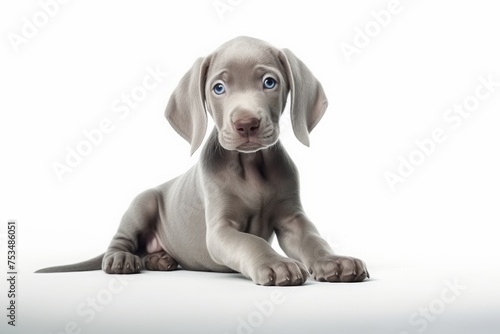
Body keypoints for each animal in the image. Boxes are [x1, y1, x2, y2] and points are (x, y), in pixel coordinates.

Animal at [38, 37, 368, 288]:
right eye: (218, 88)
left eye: (269, 82)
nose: (246, 124)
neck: (251, 167)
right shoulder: (220, 230)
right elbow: (252, 242)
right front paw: (276, 263)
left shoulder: (292, 219)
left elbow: (313, 239)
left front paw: (334, 261)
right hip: (142, 203)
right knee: (121, 241)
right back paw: (121, 259)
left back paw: (159, 259)